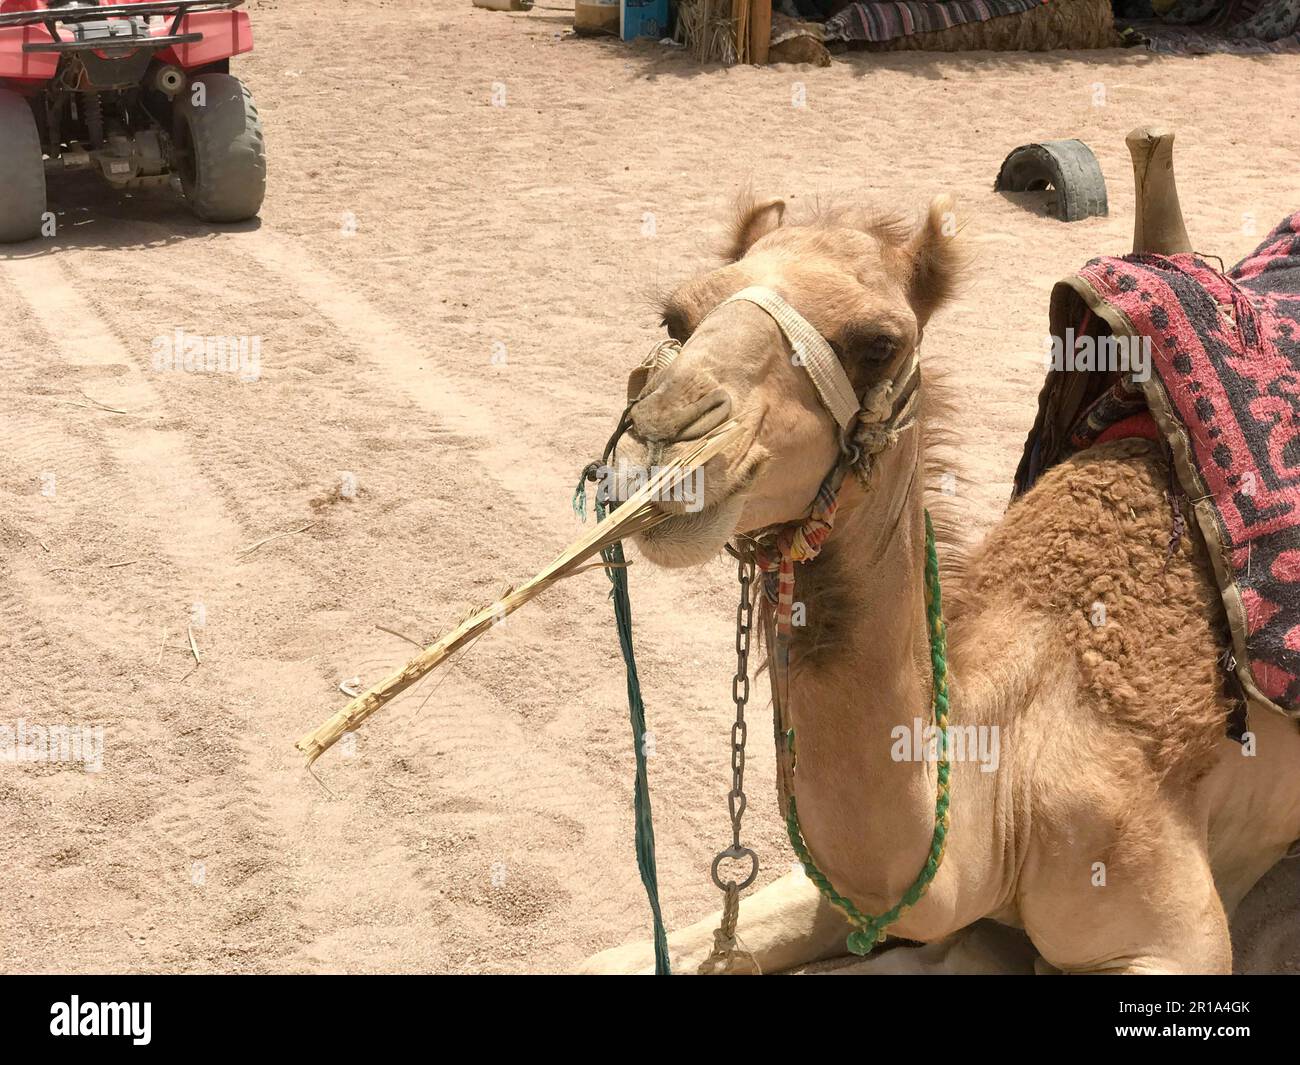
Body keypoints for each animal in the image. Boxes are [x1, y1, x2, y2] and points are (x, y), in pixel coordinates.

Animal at [585, 133, 1300, 972]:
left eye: (878, 343)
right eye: (678, 315)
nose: (664, 438)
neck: (1005, 776)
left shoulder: (1172, 933)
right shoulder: (840, 888)